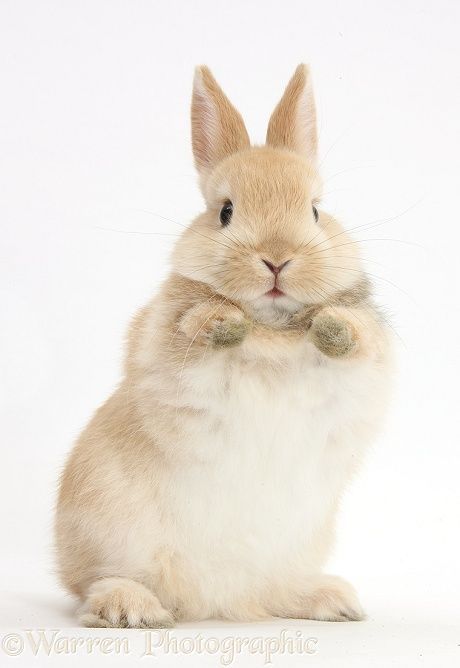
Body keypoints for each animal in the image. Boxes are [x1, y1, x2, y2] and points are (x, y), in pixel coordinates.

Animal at [54, 64, 392, 628]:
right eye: (226, 212)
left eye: (316, 211)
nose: (277, 258)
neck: (272, 326)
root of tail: (218, 601)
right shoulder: (163, 341)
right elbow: (189, 328)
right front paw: (224, 324)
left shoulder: (371, 356)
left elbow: (356, 336)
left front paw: (330, 329)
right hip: (109, 532)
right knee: (94, 585)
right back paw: (132, 608)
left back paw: (332, 600)